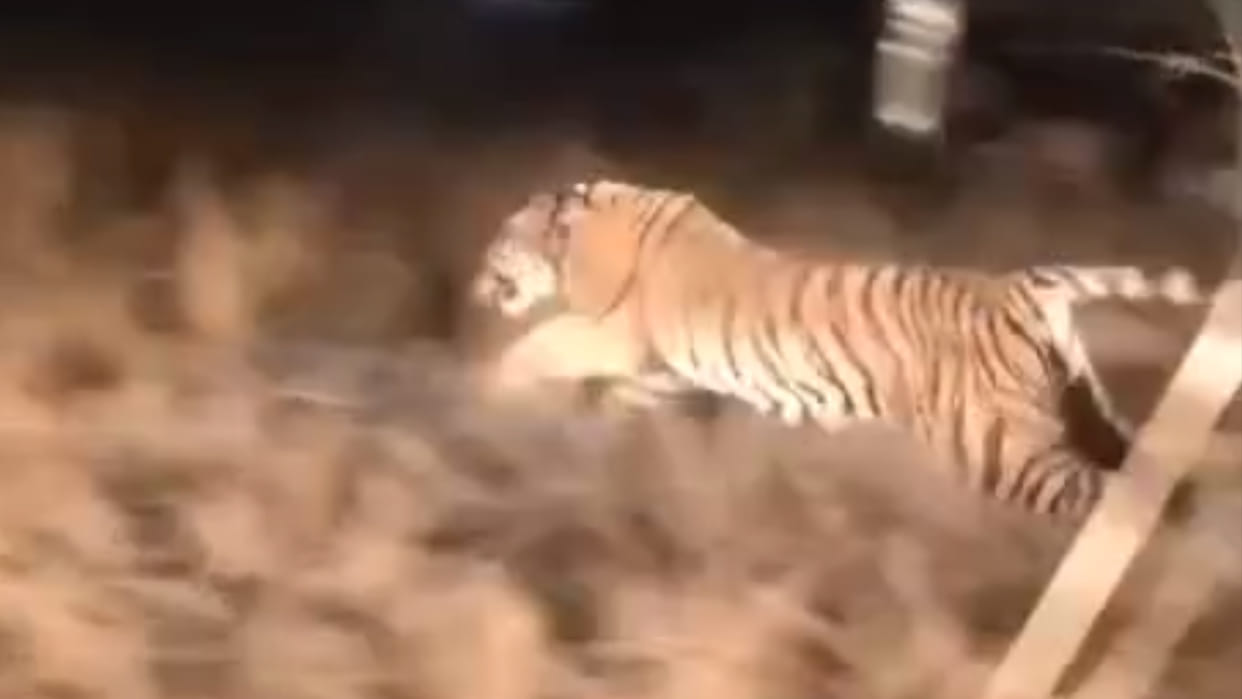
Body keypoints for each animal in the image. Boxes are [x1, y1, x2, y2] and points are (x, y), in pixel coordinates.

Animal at [469, 178, 1214, 521]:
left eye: (499, 241)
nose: (477, 285)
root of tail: (1017, 285)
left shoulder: (614, 334)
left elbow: (538, 344)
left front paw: (492, 390)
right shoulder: (660, 367)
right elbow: (619, 401)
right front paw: (596, 446)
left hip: (996, 444)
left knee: (1104, 492)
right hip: (1081, 401)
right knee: (1145, 464)